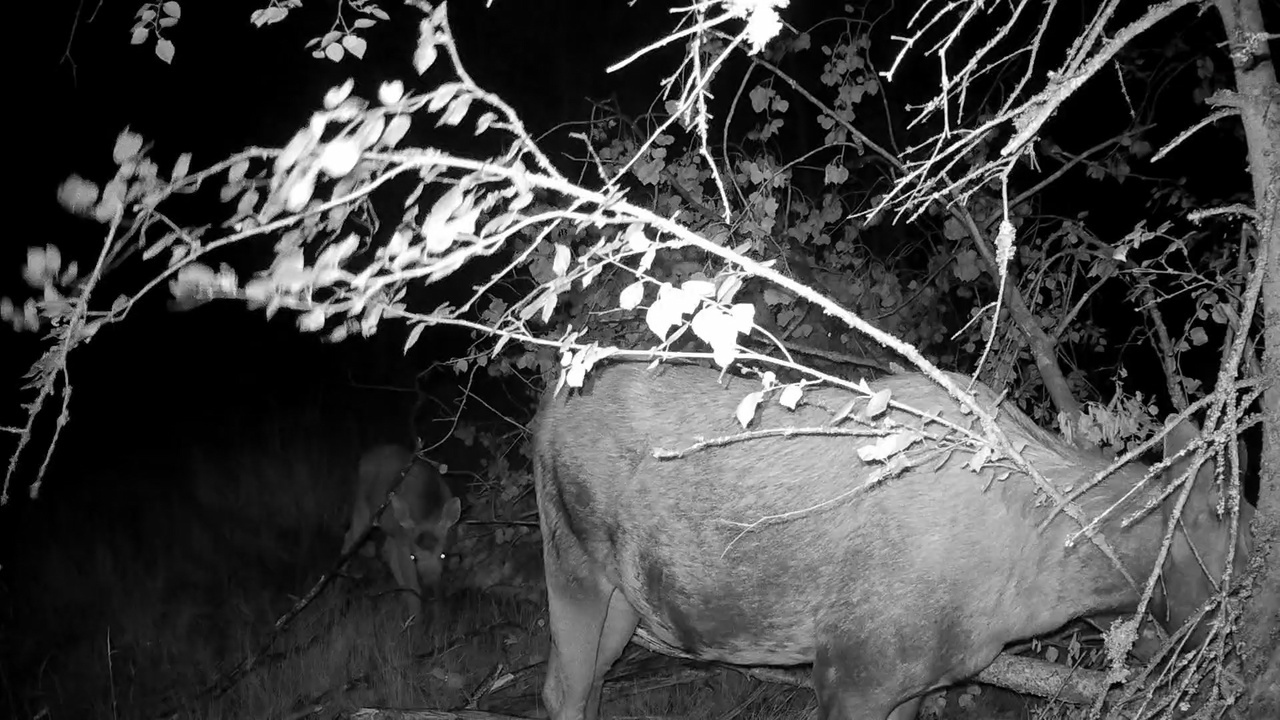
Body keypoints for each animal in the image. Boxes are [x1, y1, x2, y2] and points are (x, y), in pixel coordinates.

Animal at [343, 443, 463, 617]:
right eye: (414, 557)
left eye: (443, 554)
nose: (429, 584)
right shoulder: (404, 544)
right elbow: (414, 587)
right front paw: (417, 619)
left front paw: (440, 614)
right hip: (362, 508)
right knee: (350, 538)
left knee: (388, 553)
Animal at [535, 361, 1254, 717]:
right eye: (1241, 566)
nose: (1244, 668)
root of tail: (542, 413)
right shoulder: (851, 671)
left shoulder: (918, 681)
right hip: (571, 567)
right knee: (562, 691)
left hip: (626, 600)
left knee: (583, 685)